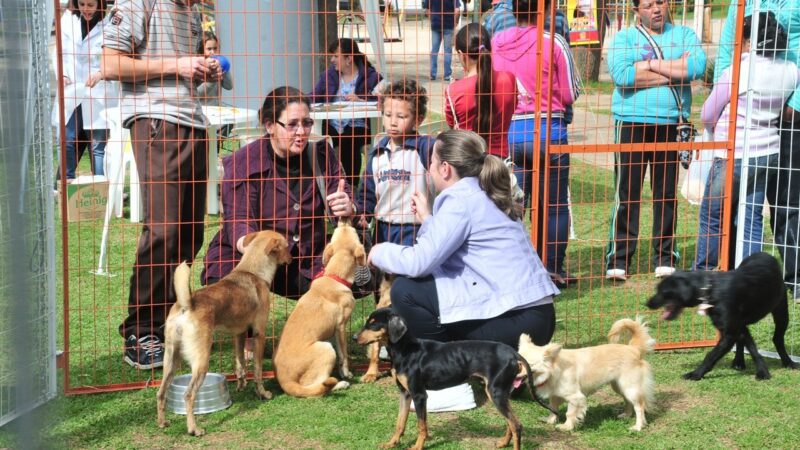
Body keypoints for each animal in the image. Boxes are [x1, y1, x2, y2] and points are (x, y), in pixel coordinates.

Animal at [155, 232, 290, 436]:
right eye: (288, 246)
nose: (292, 258)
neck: (252, 272)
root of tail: (187, 305)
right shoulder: (258, 334)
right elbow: (257, 370)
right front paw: (262, 393)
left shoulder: (239, 334)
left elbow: (240, 363)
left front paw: (241, 386)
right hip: (201, 361)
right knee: (188, 395)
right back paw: (194, 429)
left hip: (171, 358)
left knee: (161, 392)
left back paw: (162, 423)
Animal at [272, 221, 366, 398]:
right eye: (355, 232)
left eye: (337, 230)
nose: (344, 219)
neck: (335, 276)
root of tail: (285, 380)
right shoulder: (341, 326)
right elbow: (344, 355)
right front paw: (346, 374)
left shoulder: (336, 330)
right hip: (326, 349)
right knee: (318, 388)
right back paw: (340, 384)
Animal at [356, 308, 556, 448]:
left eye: (373, 324)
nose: (354, 337)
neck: (406, 350)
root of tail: (514, 353)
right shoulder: (405, 393)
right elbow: (400, 422)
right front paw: (392, 443)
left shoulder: (419, 395)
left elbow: (421, 426)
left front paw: (417, 447)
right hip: (500, 393)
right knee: (511, 423)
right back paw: (503, 443)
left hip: (495, 393)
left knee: (517, 425)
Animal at [520, 318, 656, 430]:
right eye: (517, 361)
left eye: (528, 365)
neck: (555, 368)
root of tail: (633, 349)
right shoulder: (555, 395)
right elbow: (553, 408)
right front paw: (550, 420)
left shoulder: (576, 398)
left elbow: (570, 413)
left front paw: (566, 427)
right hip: (619, 386)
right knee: (627, 401)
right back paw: (626, 415)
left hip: (630, 388)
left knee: (639, 406)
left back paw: (638, 426)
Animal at [648, 251, 796, 382]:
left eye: (663, 291)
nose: (648, 303)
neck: (710, 288)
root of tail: (766, 254)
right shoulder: (734, 326)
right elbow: (752, 348)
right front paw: (762, 371)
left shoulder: (729, 333)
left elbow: (711, 355)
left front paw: (695, 374)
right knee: (744, 341)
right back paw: (739, 362)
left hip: (781, 312)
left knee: (777, 339)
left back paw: (788, 362)